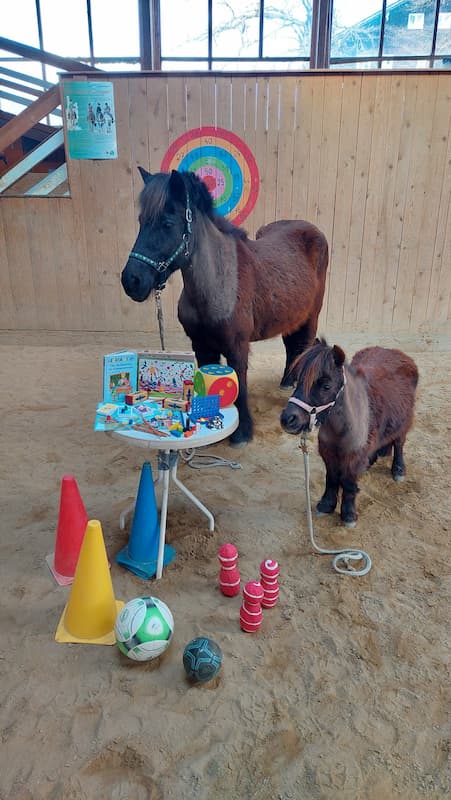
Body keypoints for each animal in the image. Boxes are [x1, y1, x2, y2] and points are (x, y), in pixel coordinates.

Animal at [121, 168, 329, 446]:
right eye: (142, 221)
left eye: (167, 223)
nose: (131, 280)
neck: (217, 284)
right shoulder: (201, 345)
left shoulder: (237, 347)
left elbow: (240, 385)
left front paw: (242, 432)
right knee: (292, 347)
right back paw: (286, 381)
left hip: (311, 316)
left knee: (303, 347)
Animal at [280, 339, 418, 527]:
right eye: (298, 381)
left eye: (326, 386)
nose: (287, 419)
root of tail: (396, 353)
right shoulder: (329, 452)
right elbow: (331, 478)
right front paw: (326, 505)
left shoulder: (353, 456)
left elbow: (348, 481)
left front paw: (348, 515)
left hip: (404, 422)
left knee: (398, 443)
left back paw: (398, 470)